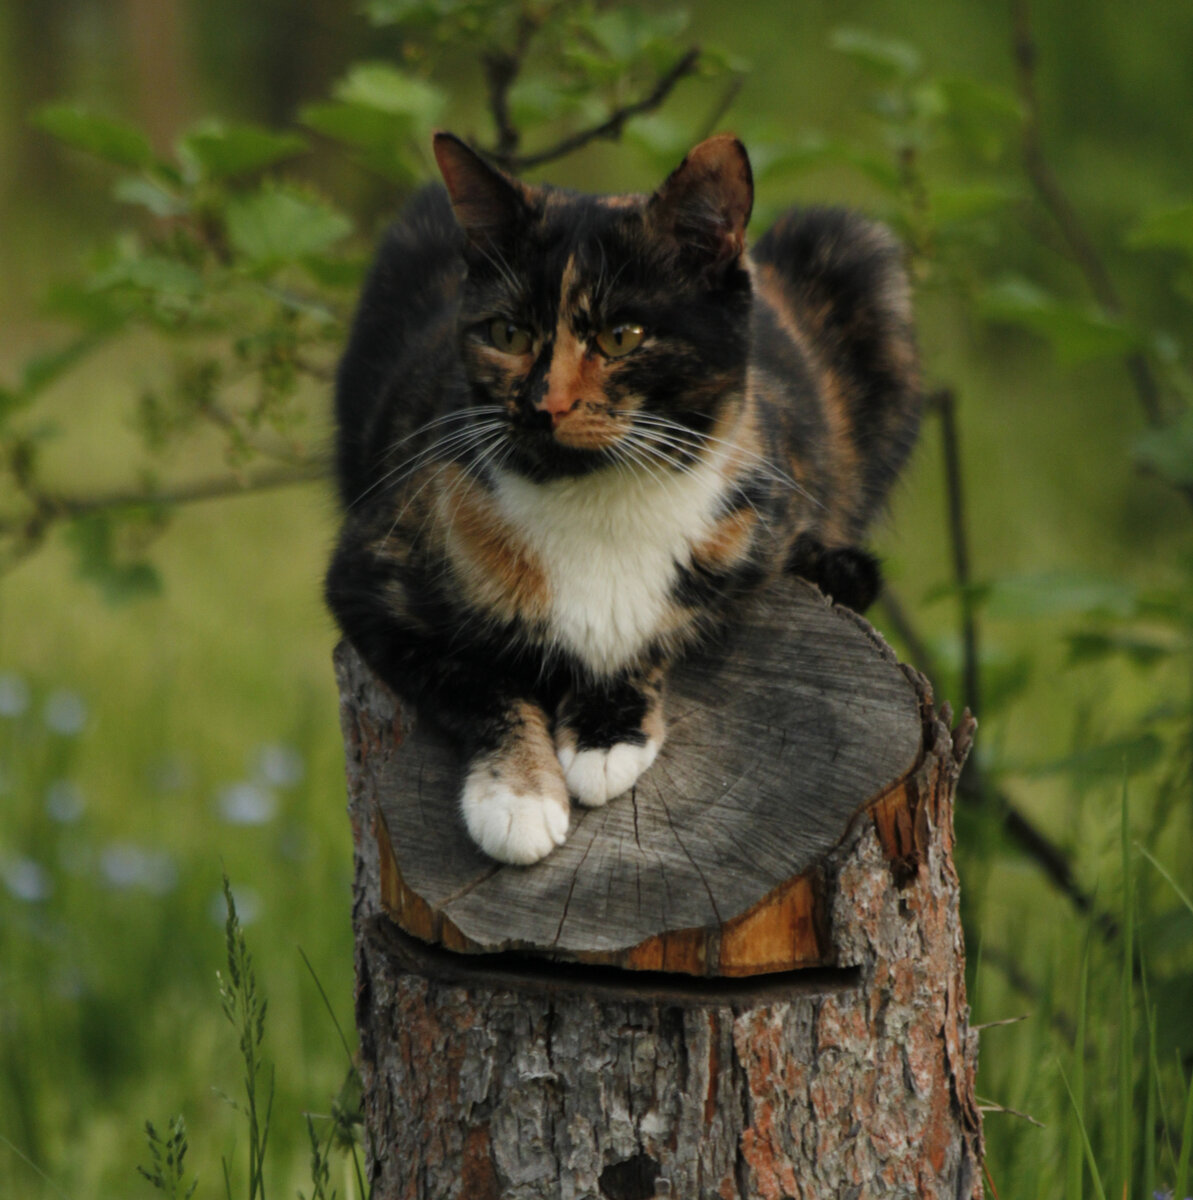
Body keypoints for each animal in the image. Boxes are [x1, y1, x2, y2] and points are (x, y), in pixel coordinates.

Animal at [321, 129, 916, 864]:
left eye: (621, 336)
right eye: (508, 334)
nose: (542, 405)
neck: (598, 500)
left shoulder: (740, 536)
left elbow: (653, 629)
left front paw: (605, 740)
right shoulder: (375, 572)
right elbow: (478, 679)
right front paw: (517, 798)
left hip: (858, 257)